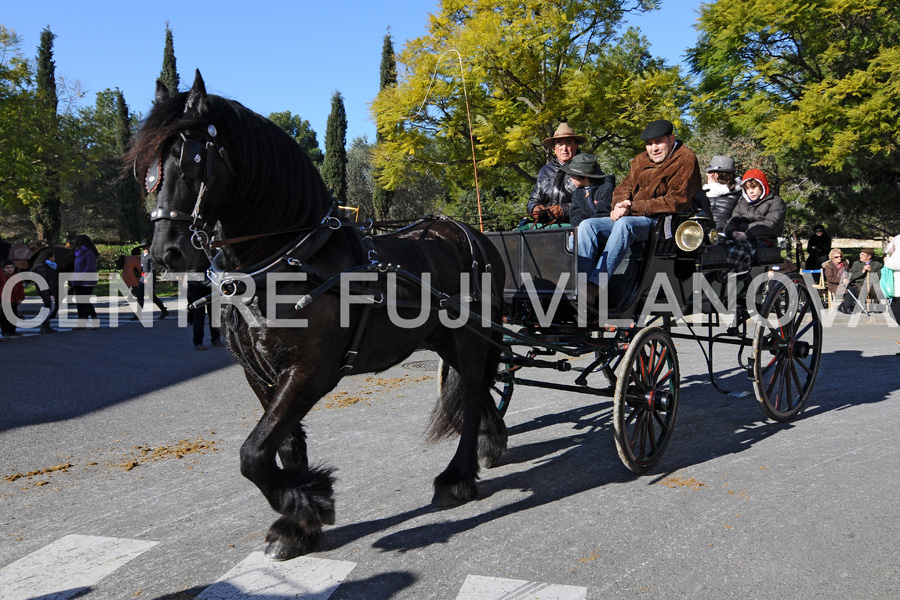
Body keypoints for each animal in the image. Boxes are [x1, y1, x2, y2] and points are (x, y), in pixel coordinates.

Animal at [128, 72, 506, 560]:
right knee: (475, 387)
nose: (165, 253)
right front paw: (299, 520)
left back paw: (457, 477)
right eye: (147, 170)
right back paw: (491, 442)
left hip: (469, 336)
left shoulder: (311, 371)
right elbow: (283, 446)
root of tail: (470, 233)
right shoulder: (261, 374)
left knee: (475, 391)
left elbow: (252, 453)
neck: (290, 259)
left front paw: (308, 503)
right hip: (445, 339)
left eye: (190, 158)